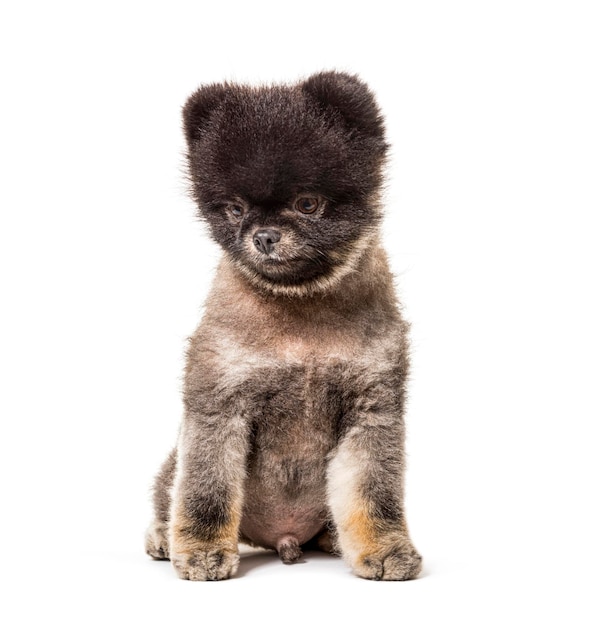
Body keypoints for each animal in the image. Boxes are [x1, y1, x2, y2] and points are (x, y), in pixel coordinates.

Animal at [146, 69, 424, 580]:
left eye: (307, 204)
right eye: (235, 209)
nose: (263, 236)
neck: (300, 315)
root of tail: (281, 540)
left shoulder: (371, 410)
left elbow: (373, 493)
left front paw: (382, 547)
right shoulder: (218, 406)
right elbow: (205, 488)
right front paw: (202, 548)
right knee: (168, 492)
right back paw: (162, 535)